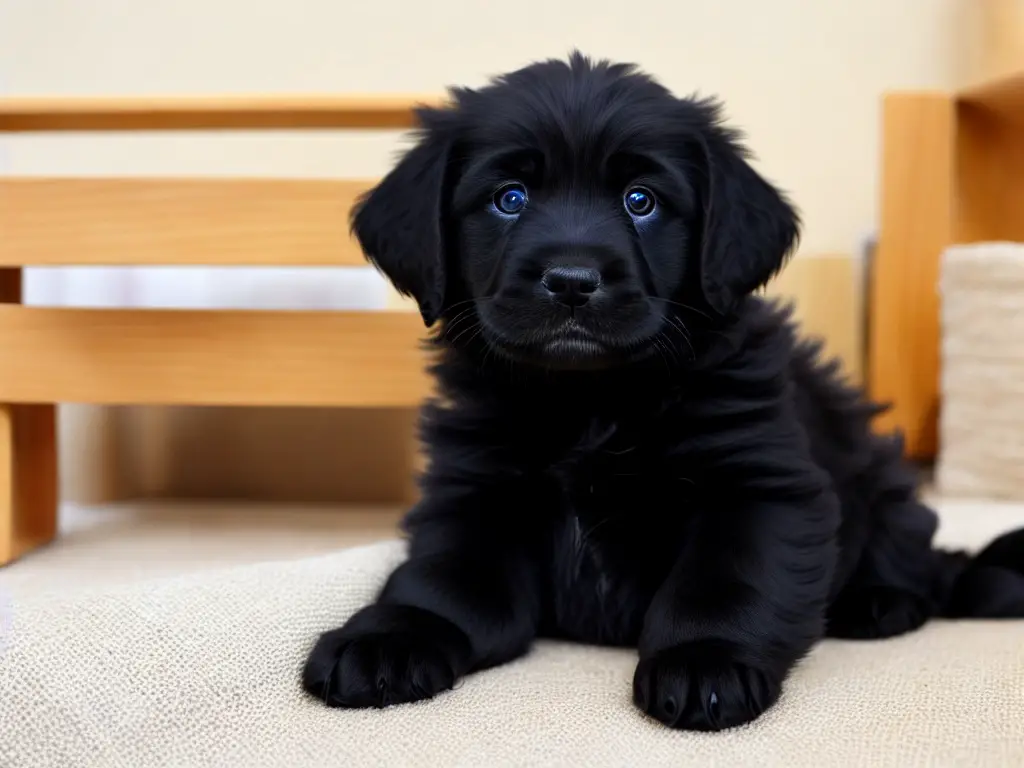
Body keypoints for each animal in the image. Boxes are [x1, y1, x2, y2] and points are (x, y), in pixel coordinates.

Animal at [299, 54, 1024, 733]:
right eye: (509, 198)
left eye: (640, 200)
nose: (571, 280)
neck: (591, 403)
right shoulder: (474, 488)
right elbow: (443, 582)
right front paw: (389, 636)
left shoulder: (760, 486)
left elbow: (723, 583)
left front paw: (706, 660)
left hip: (880, 471)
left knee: (925, 560)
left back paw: (882, 600)